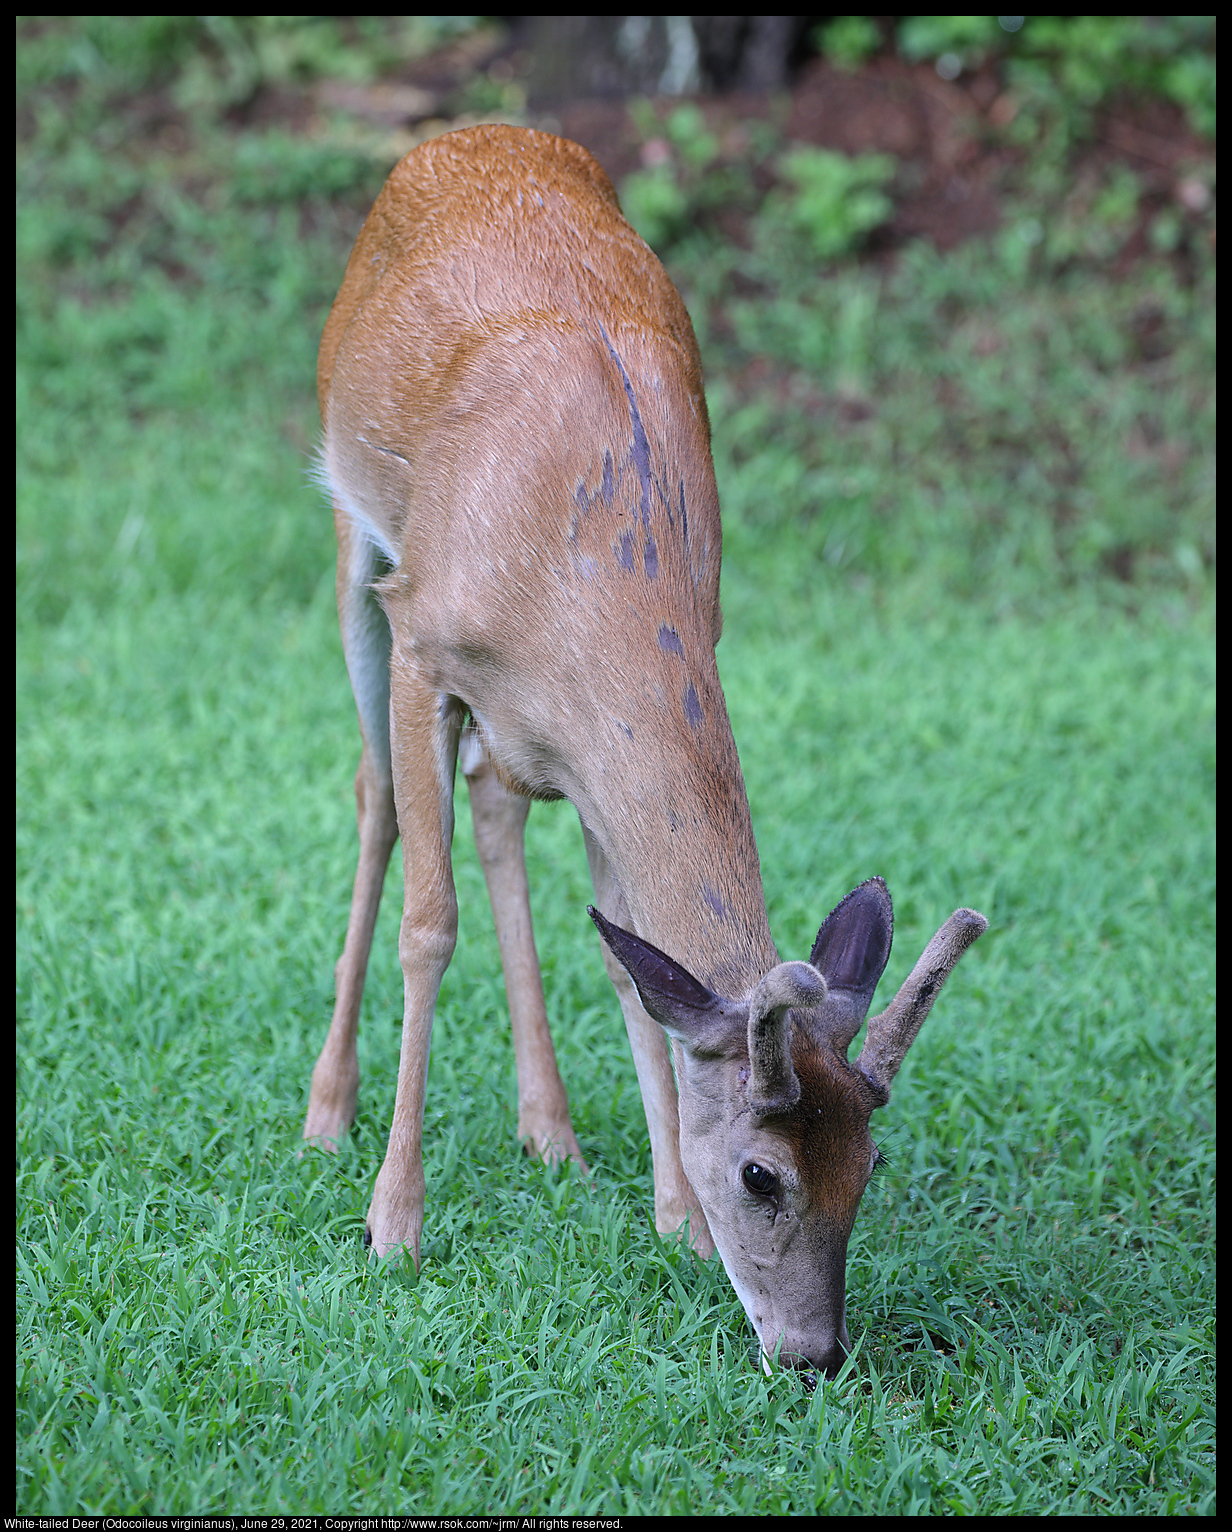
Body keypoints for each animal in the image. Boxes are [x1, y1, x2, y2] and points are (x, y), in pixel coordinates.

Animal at [298, 125, 980, 1378]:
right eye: (761, 1173)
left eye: (868, 1163)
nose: (812, 1350)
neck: (588, 582)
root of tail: (462, 135)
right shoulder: (425, 637)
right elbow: (431, 923)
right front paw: (393, 1221)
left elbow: (630, 962)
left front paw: (674, 1222)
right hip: (352, 535)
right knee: (376, 796)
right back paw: (328, 1112)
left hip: (510, 732)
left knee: (492, 805)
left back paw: (550, 1131)